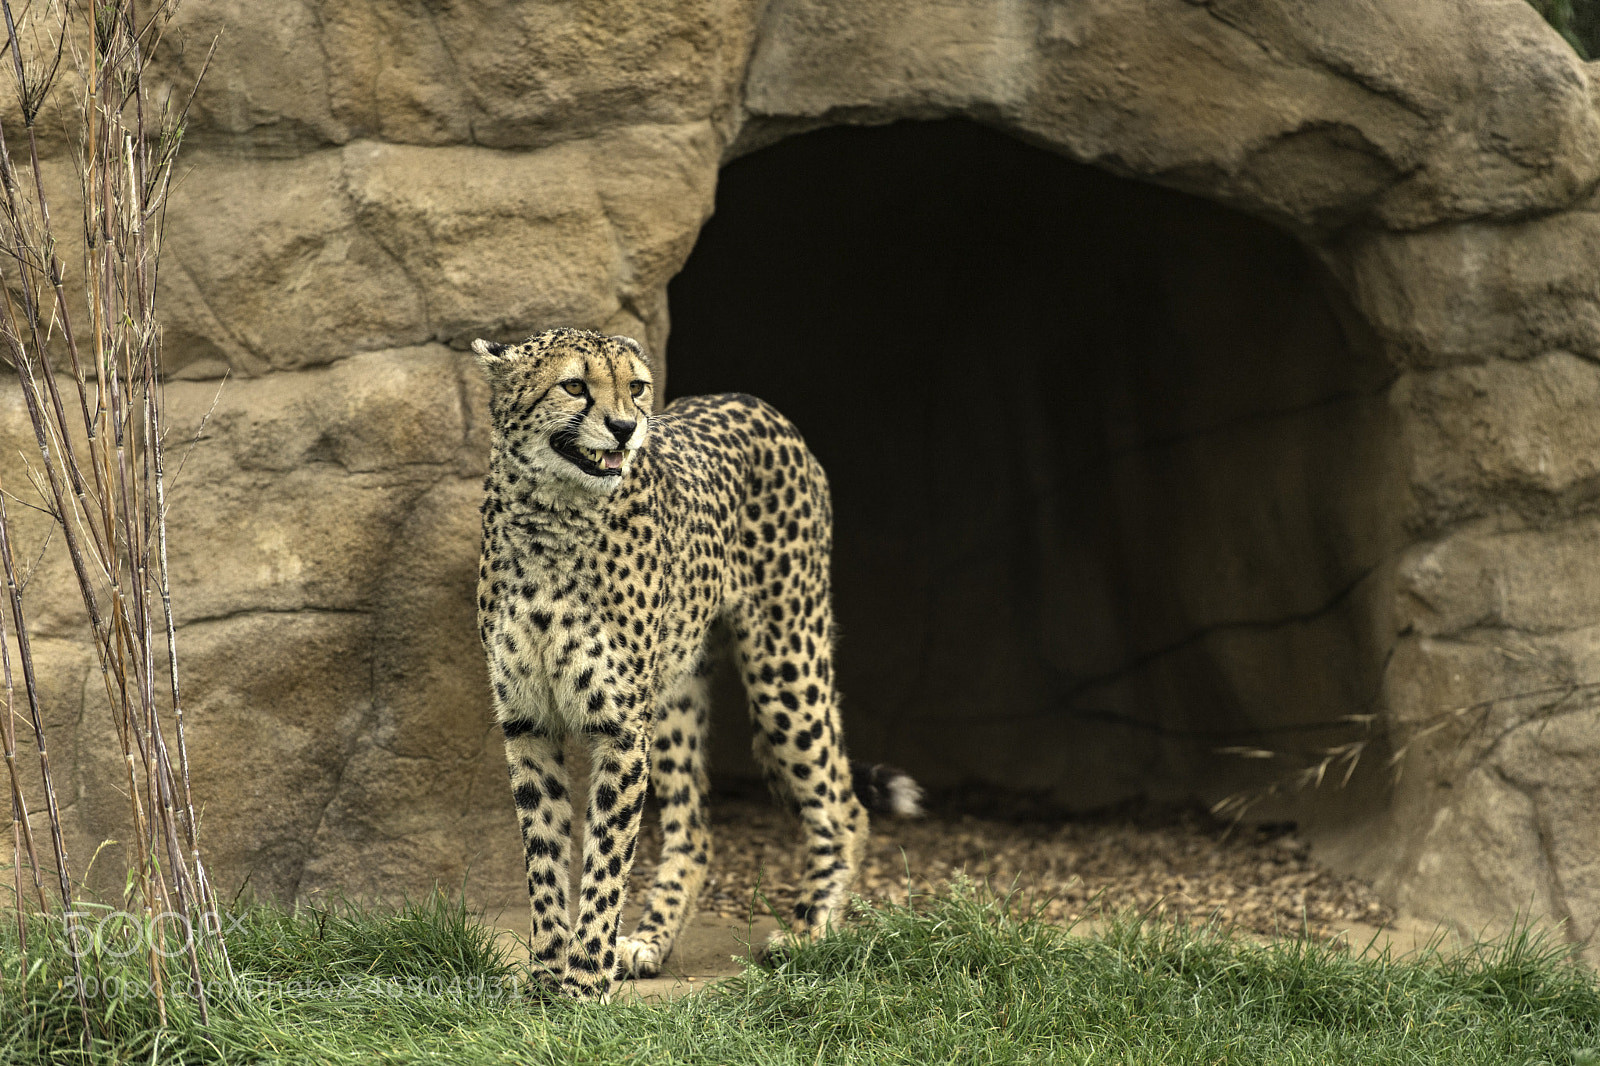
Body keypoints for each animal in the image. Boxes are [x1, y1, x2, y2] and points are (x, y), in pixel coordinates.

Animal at [472, 326, 922, 1001]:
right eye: (574, 385)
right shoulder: (529, 722)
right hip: (675, 693)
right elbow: (545, 856)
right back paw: (650, 940)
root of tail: (753, 401)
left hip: (785, 661)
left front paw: (582, 984)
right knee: (695, 829)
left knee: (843, 804)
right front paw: (546, 977)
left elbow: (605, 859)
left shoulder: (620, 728)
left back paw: (811, 931)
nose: (626, 427)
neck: (552, 520)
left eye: (635, 386)